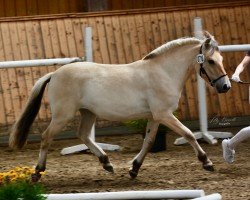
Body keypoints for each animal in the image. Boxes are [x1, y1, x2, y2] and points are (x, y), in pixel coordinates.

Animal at [9, 31, 230, 181]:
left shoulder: (155, 117)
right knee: (46, 137)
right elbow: (189, 134)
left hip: (88, 113)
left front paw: (134, 169)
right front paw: (207, 162)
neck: (163, 72)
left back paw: (107, 163)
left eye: (221, 59)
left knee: (84, 135)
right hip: (63, 115)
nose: (225, 86)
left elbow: (149, 142)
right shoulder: (165, 114)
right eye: (210, 61)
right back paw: (37, 172)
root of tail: (54, 74)